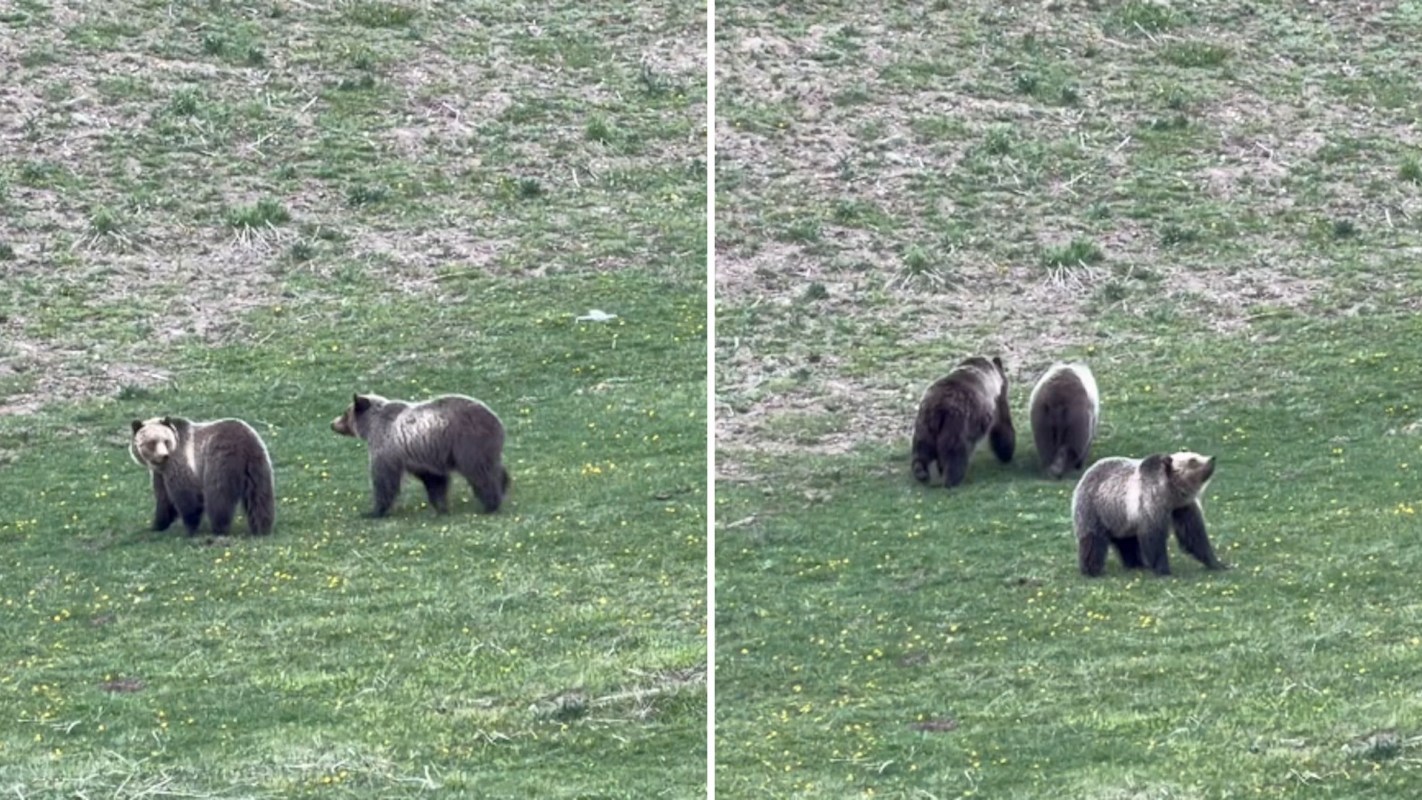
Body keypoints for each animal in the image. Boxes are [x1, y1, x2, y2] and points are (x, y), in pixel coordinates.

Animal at [128, 416, 275, 536]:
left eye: (166, 441)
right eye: (152, 442)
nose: (163, 455)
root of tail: (245, 444)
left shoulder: (179, 462)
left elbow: (185, 495)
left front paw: (190, 527)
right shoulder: (160, 475)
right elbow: (164, 498)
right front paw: (157, 524)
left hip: (220, 460)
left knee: (218, 496)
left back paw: (219, 528)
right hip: (258, 463)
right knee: (259, 496)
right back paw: (262, 526)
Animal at [331, 393, 509, 517]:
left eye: (345, 413)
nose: (332, 423)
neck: (371, 426)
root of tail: (497, 421)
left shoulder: (387, 447)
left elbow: (384, 479)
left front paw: (373, 511)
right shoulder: (422, 456)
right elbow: (434, 480)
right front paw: (440, 506)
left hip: (468, 441)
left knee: (479, 472)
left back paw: (490, 504)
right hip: (483, 447)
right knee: (493, 467)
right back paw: (504, 485)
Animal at [911, 355, 1015, 488]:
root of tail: (939, 406)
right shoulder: (997, 401)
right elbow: (1002, 425)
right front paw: (1006, 453)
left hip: (924, 424)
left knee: (921, 449)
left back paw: (921, 472)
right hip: (957, 423)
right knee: (955, 452)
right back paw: (952, 479)